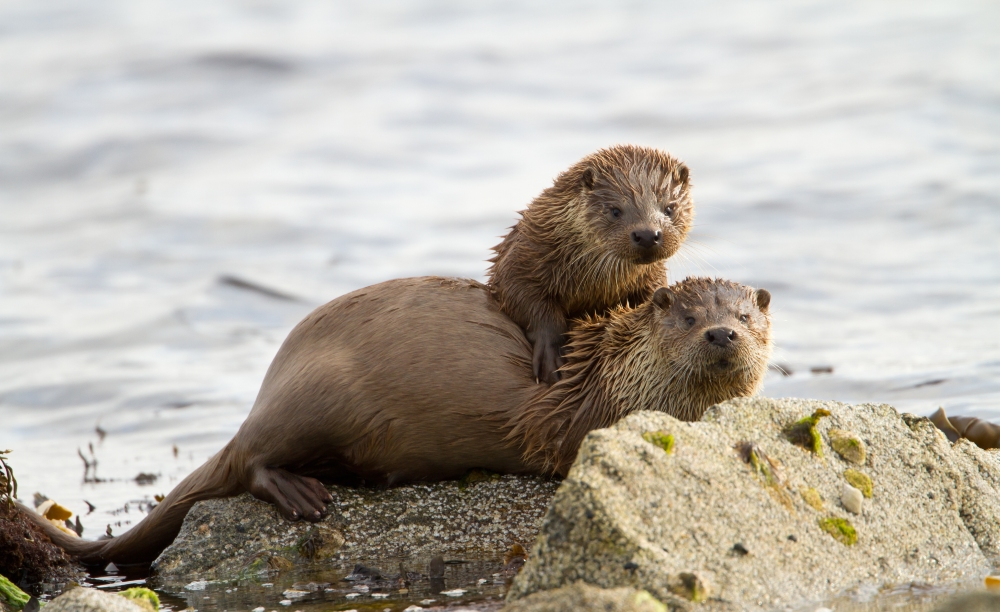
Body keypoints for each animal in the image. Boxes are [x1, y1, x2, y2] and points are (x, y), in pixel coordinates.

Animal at [27, 274, 768, 568]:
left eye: (746, 314)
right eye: (688, 317)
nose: (722, 333)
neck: (609, 373)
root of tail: (268, 389)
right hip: (315, 397)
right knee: (253, 460)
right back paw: (303, 494)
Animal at [486, 144, 692, 382]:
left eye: (669, 208)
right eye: (615, 210)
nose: (648, 234)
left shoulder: (651, 277)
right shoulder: (520, 259)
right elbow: (526, 301)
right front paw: (550, 355)